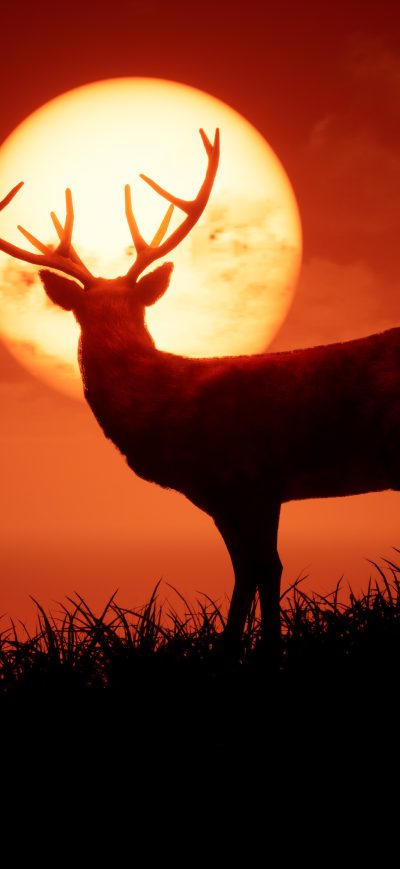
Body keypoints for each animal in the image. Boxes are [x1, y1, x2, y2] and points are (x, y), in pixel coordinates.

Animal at [1, 128, 398, 662]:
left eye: (133, 307)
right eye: (85, 310)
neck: (165, 405)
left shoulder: (251, 475)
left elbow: (262, 567)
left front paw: (254, 656)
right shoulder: (225, 492)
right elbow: (252, 568)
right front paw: (242, 651)